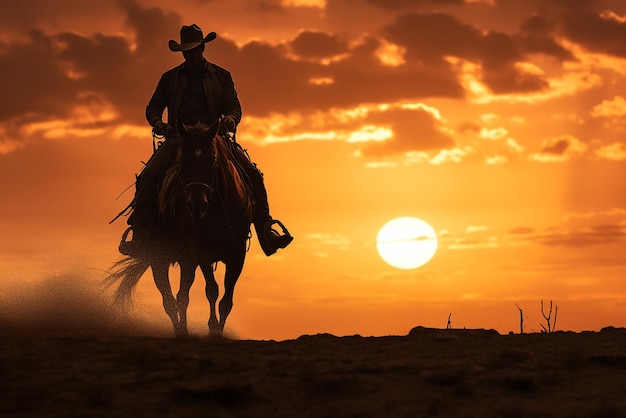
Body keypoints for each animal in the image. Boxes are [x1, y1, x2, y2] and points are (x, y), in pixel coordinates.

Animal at [106, 120, 252, 336]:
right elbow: (212, 290)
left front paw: (218, 330)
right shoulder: (201, 252)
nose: (197, 205)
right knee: (169, 299)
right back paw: (180, 331)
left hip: (186, 261)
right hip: (159, 258)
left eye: (212, 159)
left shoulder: (237, 255)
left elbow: (226, 299)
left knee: (182, 295)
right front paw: (212, 328)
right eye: (183, 161)